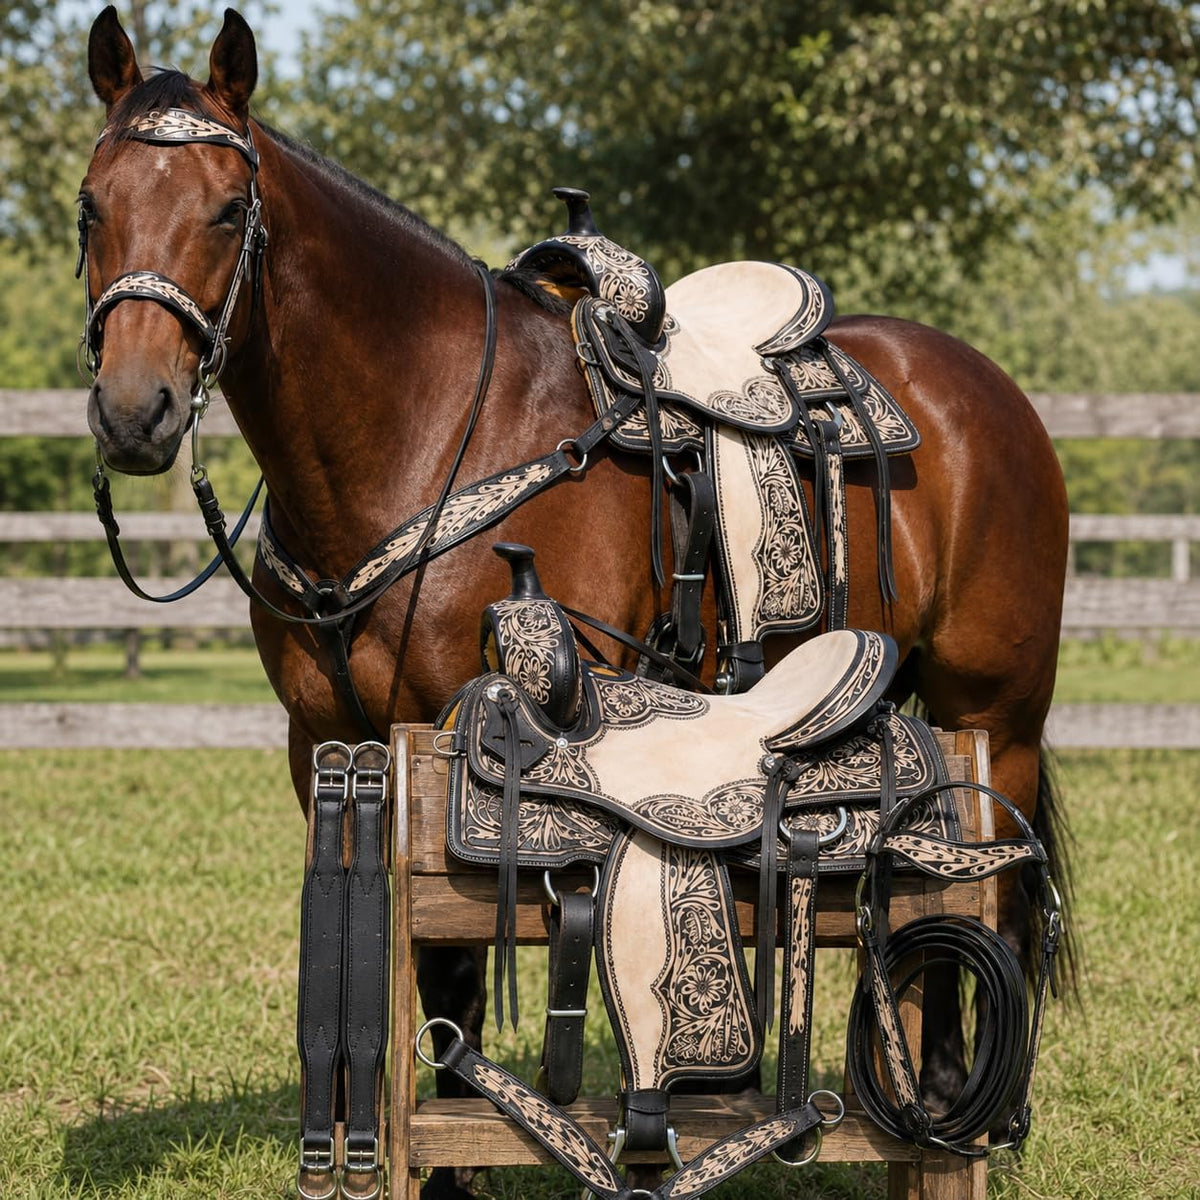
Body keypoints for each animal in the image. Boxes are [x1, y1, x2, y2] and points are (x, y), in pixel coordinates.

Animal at [80, 7, 1071, 1193]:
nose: (135, 411)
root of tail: (990, 392)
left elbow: (455, 965)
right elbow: (414, 952)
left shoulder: (466, 736)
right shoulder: (330, 746)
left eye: (229, 210)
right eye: (90, 205)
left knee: (994, 891)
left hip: (999, 715)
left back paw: (975, 1112)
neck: (430, 430)